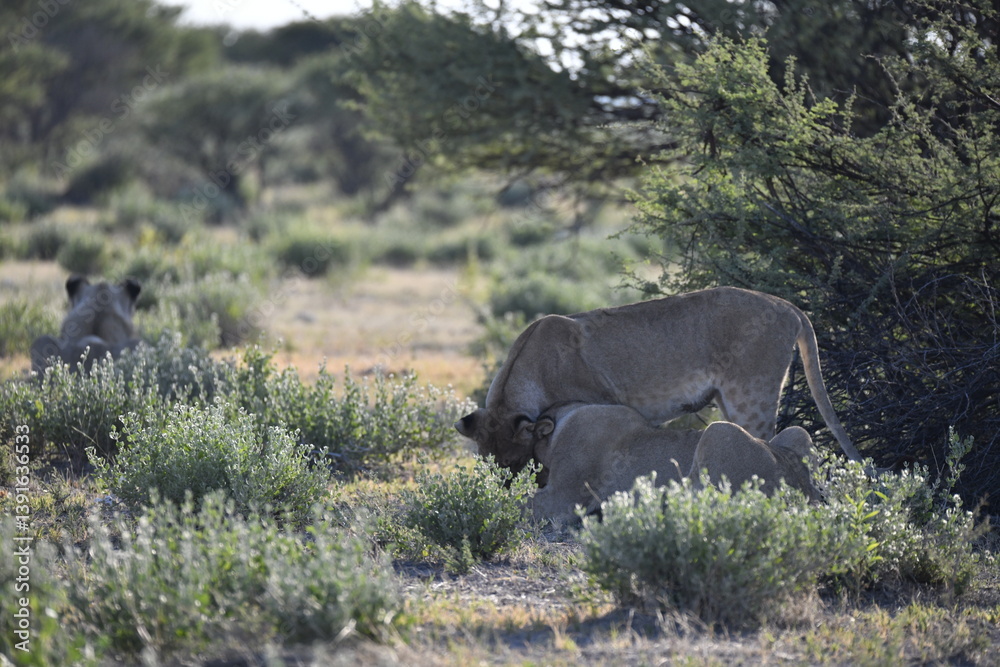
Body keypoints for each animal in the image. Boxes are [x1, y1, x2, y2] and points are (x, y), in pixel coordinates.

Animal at [456, 287, 861, 474]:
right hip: (729, 399)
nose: (507, 491)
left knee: (767, 443)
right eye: (489, 465)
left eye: (513, 463)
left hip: (751, 395)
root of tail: (788, 305)